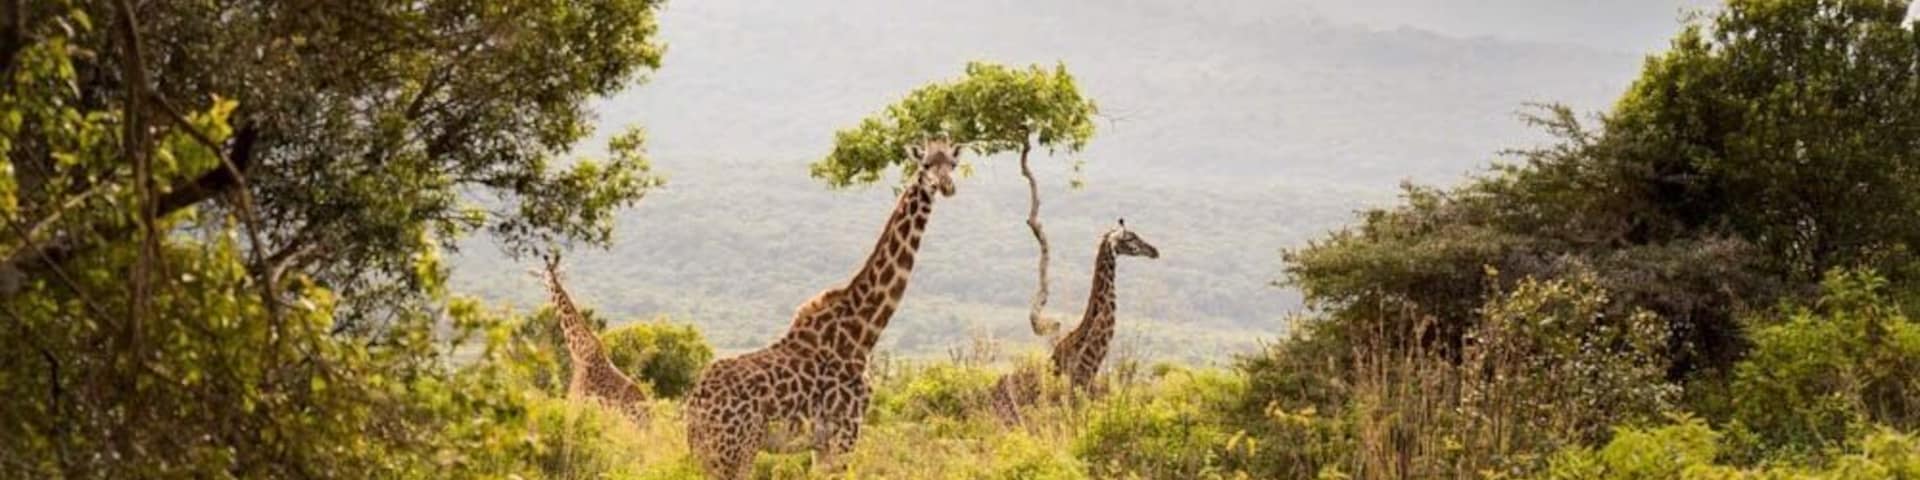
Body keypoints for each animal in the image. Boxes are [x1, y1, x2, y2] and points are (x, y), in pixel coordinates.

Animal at [684, 139, 962, 479]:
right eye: (925, 165)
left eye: (952, 164)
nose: (946, 186)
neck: (862, 332)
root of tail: (695, 406)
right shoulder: (845, 432)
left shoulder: (821, 444)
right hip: (734, 451)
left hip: (709, 452)